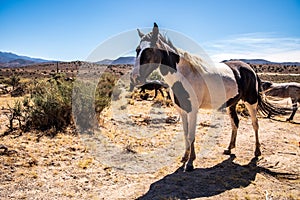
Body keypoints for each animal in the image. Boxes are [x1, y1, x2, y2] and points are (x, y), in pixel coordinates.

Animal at [131, 22, 286, 171]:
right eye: (137, 50)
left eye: (149, 50)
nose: (135, 77)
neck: (184, 75)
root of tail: (249, 68)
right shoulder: (182, 111)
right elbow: (185, 134)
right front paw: (185, 157)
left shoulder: (193, 111)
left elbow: (191, 135)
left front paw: (190, 163)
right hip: (232, 104)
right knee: (235, 123)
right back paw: (229, 148)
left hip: (251, 102)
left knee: (255, 124)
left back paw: (257, 152)